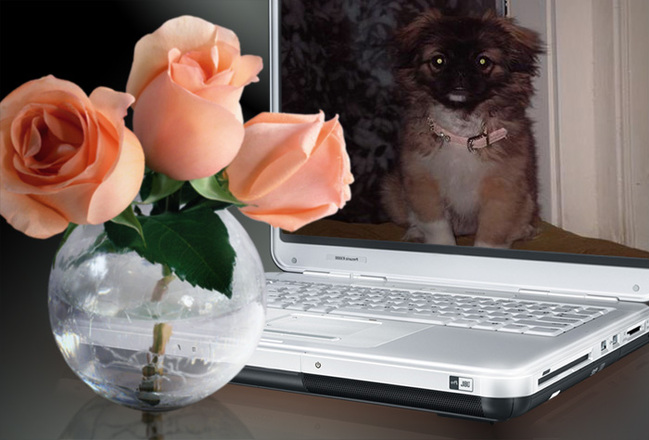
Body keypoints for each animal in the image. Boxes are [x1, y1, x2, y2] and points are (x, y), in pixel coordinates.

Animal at [381, 10, 543, 248]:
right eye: (438, 60)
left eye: (483, 61)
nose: (460, 72)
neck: (461, 132)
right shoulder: (423, 184)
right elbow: (437, 227)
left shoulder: (503, 189)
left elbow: (491, 234)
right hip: (392, 194)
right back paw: (415, 232)